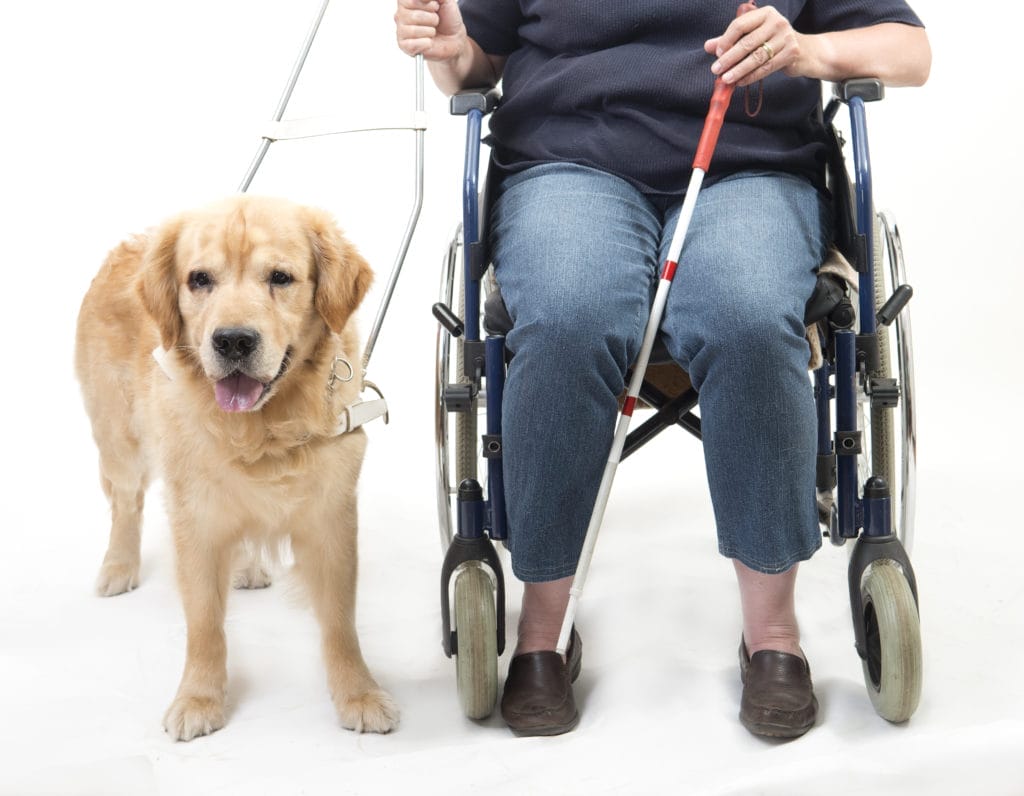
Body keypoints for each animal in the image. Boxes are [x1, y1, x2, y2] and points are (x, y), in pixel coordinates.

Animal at [72, 195, 397, 741]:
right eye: (199, 279)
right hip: (120, 441)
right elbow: (205, 622)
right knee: (126, 504)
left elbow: (339, 620)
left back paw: (244, 567)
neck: (260, 431)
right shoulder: (195, 521)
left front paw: (359, 693)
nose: (234, 341)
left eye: (281, 277)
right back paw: (119, 566)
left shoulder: (331, 519)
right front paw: (199, 698)